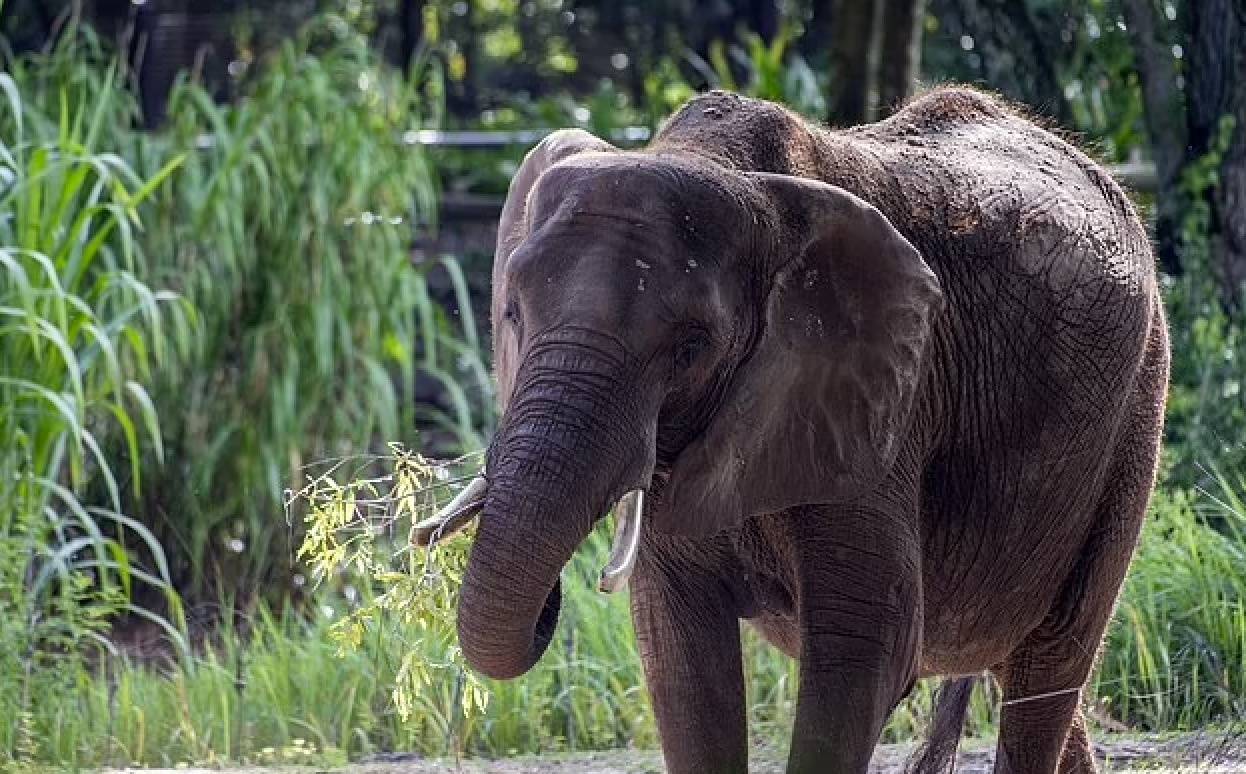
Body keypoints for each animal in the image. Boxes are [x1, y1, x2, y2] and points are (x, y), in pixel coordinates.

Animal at [413, 87, 1161, 772]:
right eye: (512, 312)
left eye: (691, 347)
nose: (557, 599)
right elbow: (682, 661)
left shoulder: (884, 404)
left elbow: (867, 650)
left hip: (1135, 410)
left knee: (1052, 658)